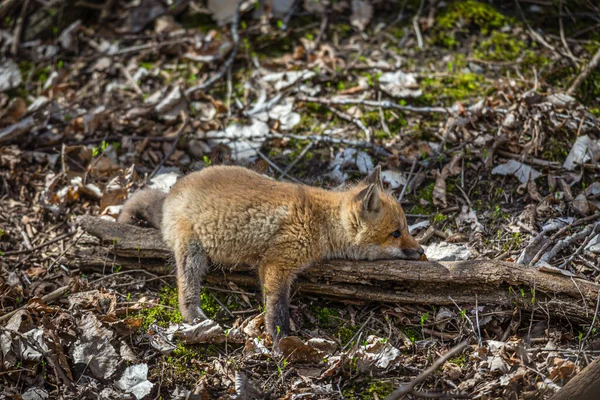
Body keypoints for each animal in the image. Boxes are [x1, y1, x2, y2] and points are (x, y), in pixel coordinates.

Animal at [117, 164, 424, 342]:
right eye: (396, 233)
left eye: (406, 228)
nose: (421, 250)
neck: (321, 221)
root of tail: (172, 192)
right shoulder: (277, 263)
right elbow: (276, 307)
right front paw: (280, 340)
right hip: (191, 252)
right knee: (185, 289)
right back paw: (193, 315)